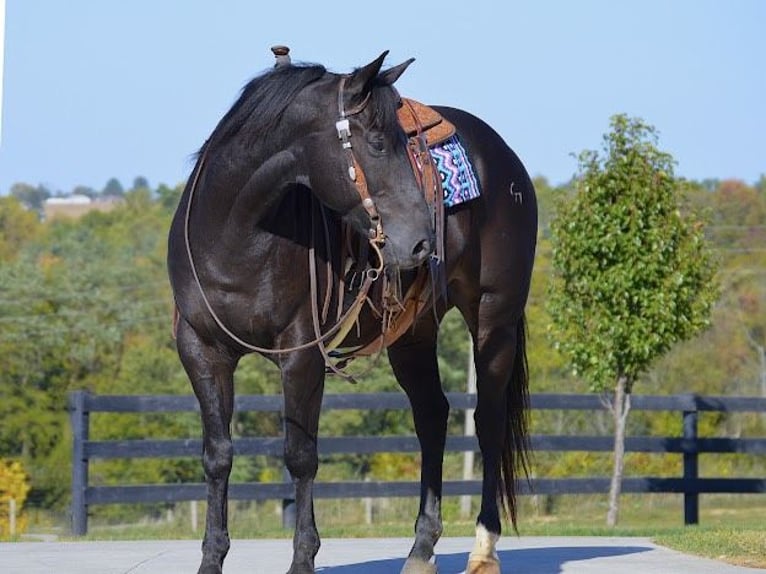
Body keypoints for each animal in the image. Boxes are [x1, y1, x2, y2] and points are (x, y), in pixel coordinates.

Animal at [168, 51, 540, 574]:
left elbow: (300, 455)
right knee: (432, 417)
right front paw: (211, 559)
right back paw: (420, 550)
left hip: (494, 319)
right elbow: (217, 454)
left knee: (487, 421)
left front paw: (303, 559)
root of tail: (504, 156)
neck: (234, 237)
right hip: (414, 332)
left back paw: (483, 550)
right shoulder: (201, 351)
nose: (422, 240)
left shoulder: (301, 355)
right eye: (379, 144)